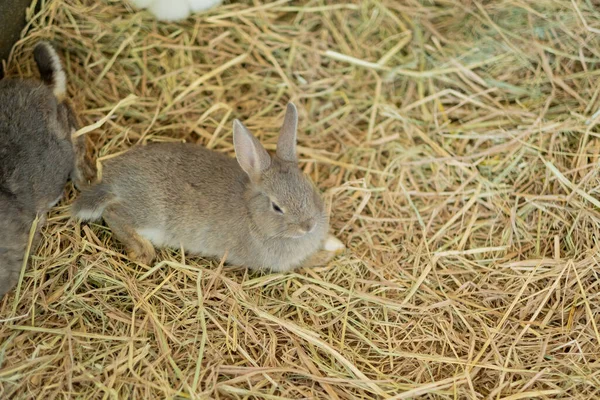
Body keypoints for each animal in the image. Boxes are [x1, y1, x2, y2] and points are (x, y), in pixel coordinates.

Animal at [74, 103, 344, 272]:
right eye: (277, 207)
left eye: (309, 187)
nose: (308, 226)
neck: (253, 216)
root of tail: (111, 182)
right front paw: (329, 253)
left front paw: (335, 243)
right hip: (150, 213)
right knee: (114, 214)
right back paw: (144, 251)